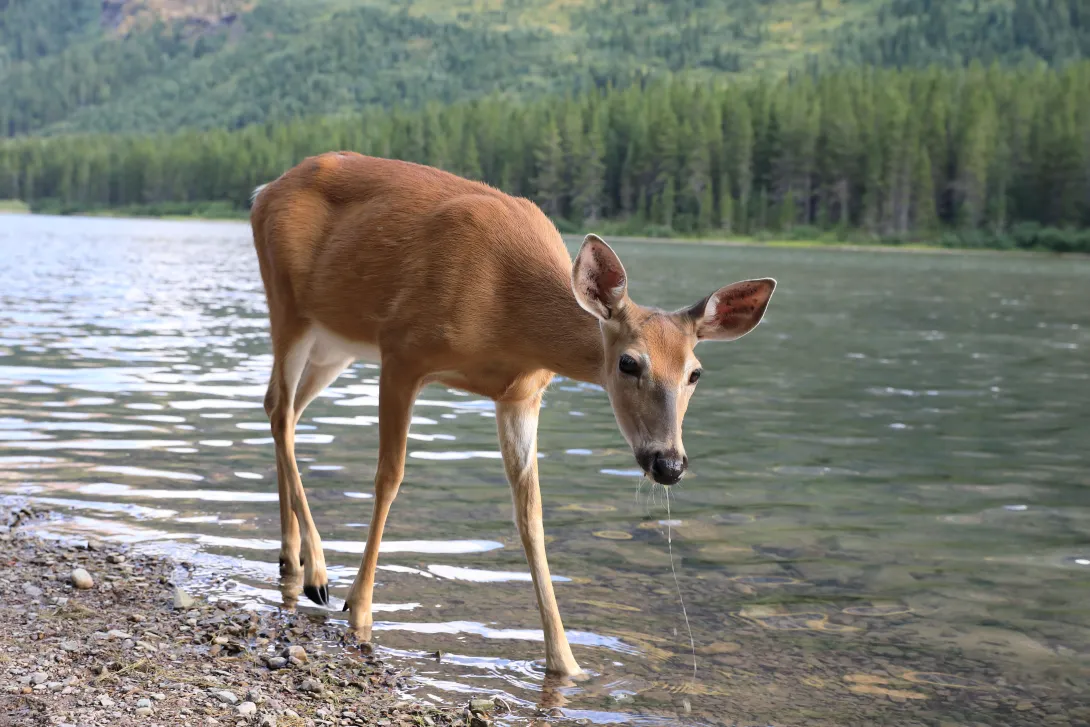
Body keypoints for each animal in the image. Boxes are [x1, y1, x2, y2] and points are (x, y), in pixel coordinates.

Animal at [249, 152, 776, 677]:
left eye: (695, 373)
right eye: (628, 363)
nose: (668, 463)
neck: (508, 315)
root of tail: (264, 191)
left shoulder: (521, 396)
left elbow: (531, 515)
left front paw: (566, 663)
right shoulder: (402, 350)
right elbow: (389, 478)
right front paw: (359, 612)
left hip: (336, 343)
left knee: (286, 410)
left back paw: (291, 558)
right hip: (289, 305)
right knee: (279, 409)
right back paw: (317, 572)